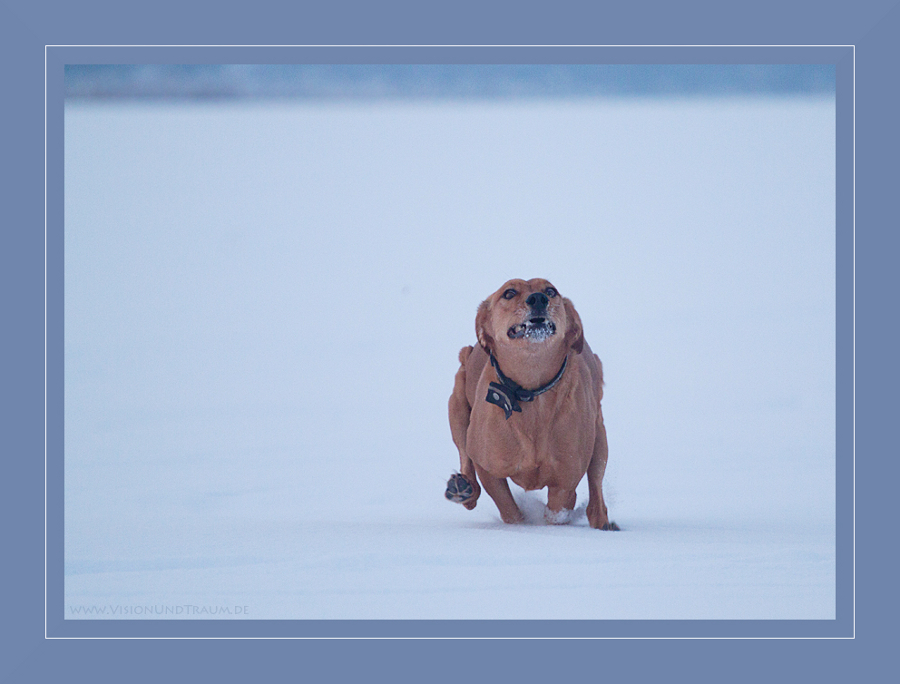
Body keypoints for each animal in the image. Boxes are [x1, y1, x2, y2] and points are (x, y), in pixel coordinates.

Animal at [444, 278, 620, 528]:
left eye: (551, 291)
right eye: (509, 293)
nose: (538, 298)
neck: (531, 391)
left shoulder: (565, 478)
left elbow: (558, 508)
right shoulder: (488, 468)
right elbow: (509, 509)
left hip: (599, 438)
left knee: (596, 487)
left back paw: (602, 522)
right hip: (457, 406)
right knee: (465, 459)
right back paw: (463, 489)